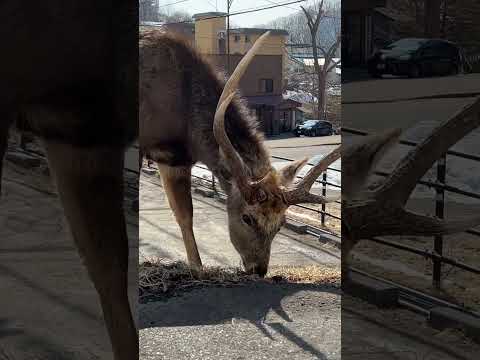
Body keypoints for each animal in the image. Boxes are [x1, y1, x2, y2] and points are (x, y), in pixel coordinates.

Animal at [139, 31, 342, 278]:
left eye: (281, 223)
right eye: (247, 218)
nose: (258, 269)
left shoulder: (175, 160)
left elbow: (185, 214)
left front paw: (197, 268)